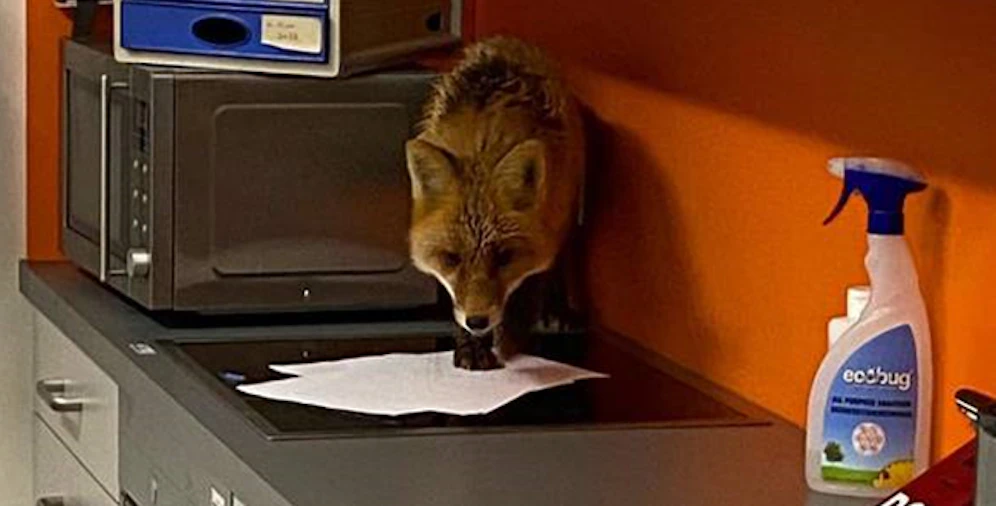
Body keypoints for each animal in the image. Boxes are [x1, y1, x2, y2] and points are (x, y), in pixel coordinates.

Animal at [405, 37, 586, 370]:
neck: (482, 142)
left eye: (505, 257)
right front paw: (471, 345)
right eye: (451, 258)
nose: (477, 322)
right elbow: (456, 305)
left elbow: (536, 279)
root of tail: (509, 41)